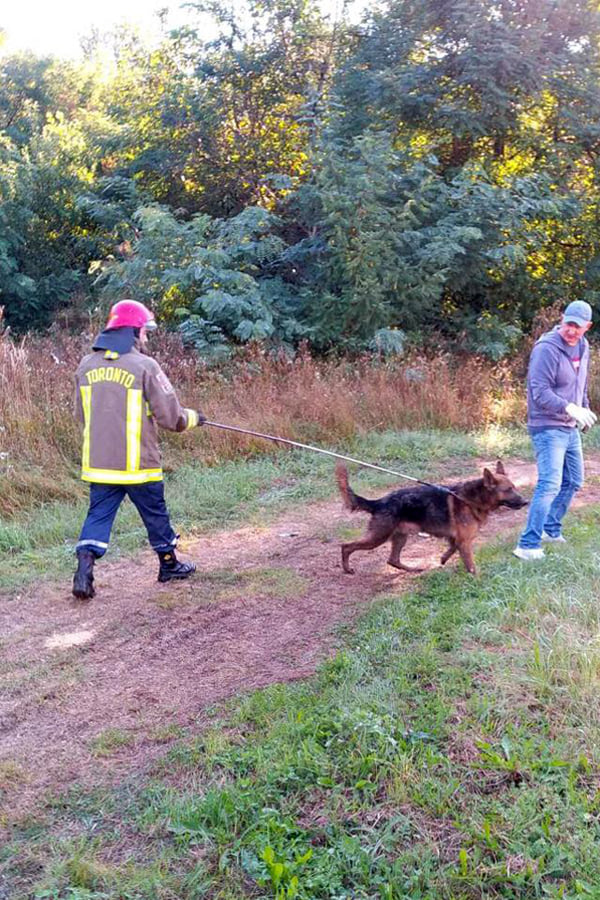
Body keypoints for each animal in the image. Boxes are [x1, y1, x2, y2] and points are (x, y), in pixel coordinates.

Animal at [336, 460, 528, 572]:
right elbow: (471, 565)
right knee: (346, 546)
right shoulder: (464, 541)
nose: (526, 501)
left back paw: (413, 569)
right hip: (378, 537)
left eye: (514, 487)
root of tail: (379, 502)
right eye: (508, 490)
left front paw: (443, 559)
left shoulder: (457, 539)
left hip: (400, 537)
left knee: (393, 560)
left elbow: (451, 549)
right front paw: (476, 580)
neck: (471, 499)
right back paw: (347, 569)